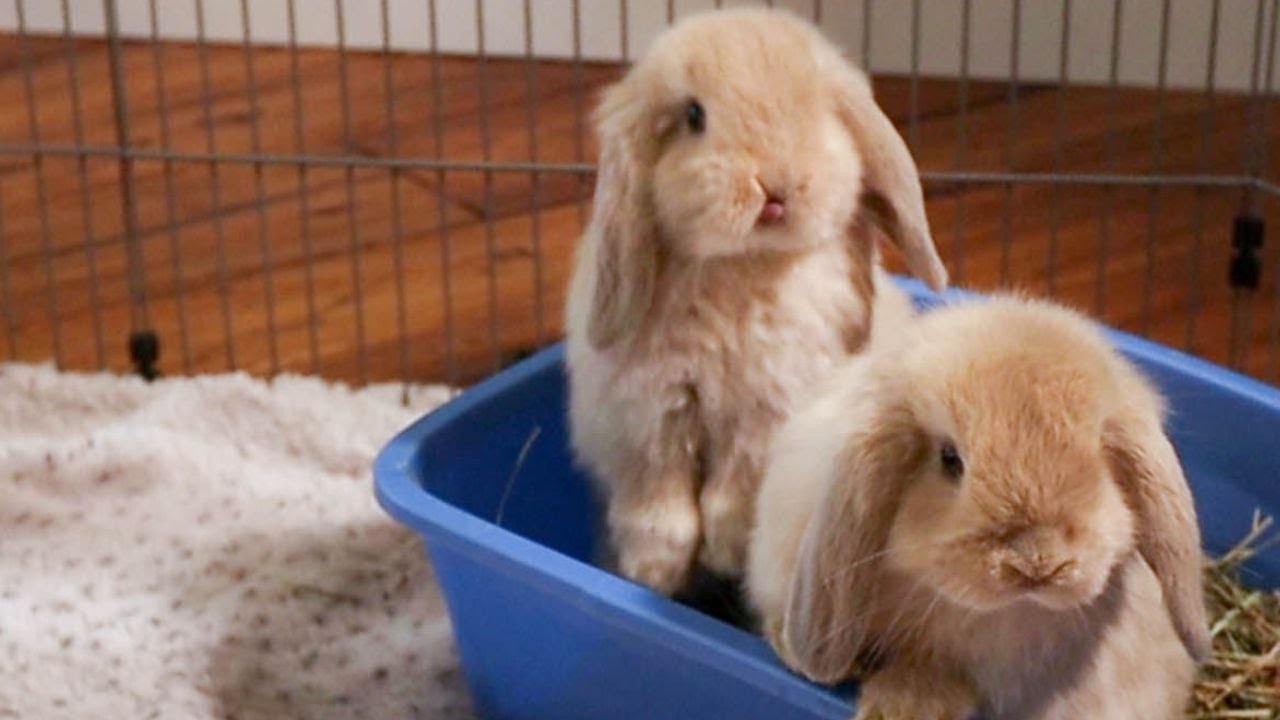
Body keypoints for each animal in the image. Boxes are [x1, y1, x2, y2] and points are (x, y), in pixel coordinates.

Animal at [563, 6, 949, 597]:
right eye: (693, 115)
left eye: (820, 109)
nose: (775, 187)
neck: (743, 266)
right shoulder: (650, 419)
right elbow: (660, 504)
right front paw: (654, 572)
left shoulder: (765, 414)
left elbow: (732, 492)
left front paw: (725, 554)